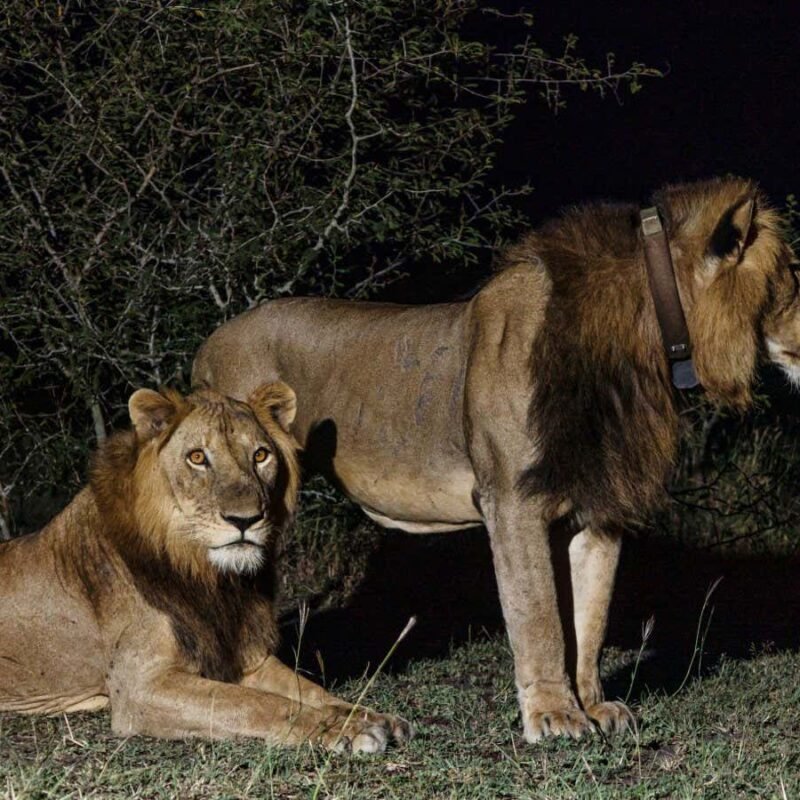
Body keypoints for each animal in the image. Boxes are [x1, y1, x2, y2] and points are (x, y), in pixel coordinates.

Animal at [0, 383, 411, 752]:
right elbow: (256, 703)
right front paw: (343, 729)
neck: (211, 576)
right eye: (197, 458)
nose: (245, 520)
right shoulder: (140, 687)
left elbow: (308, 689)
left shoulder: (248, 659)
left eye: (260, 455)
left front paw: (366, 716)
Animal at [192, 177, 800, 742]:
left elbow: (590, 617)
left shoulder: (599, 504)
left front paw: (594, 706)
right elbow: (540, 615)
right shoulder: (512, 500)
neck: (638, 350)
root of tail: (210, 342)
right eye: (792, 276)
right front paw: (554, 716)